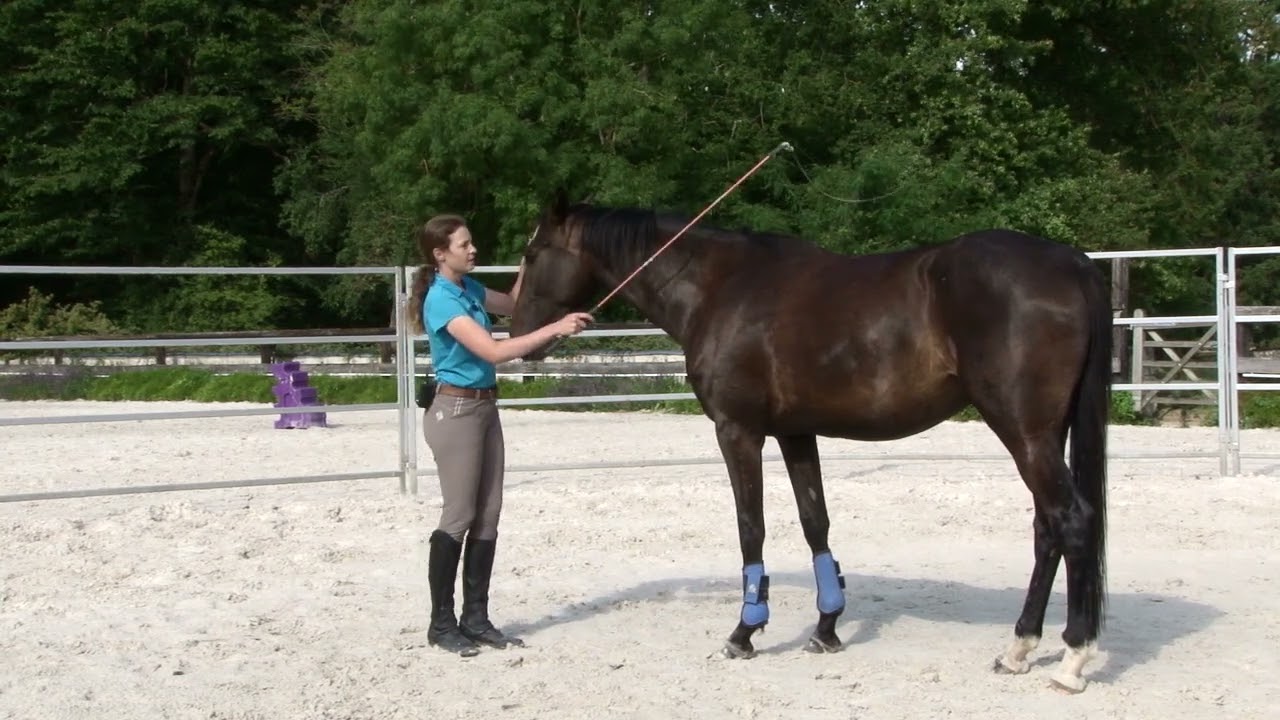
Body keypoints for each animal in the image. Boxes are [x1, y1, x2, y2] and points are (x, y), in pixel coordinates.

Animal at [508, 190, 1111, 693]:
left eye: (533, 254)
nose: (516, 335)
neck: (721, 287)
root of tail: (1073, 262)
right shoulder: (796, 432)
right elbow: (814, 521)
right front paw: (826, 626)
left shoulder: (738, 431)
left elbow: (751, 526)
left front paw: (744, 632)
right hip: (1042, 435)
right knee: (1047, 530)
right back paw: (1019, 648)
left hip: (1023, 432)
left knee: (1073, 520)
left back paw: (1073, 659)